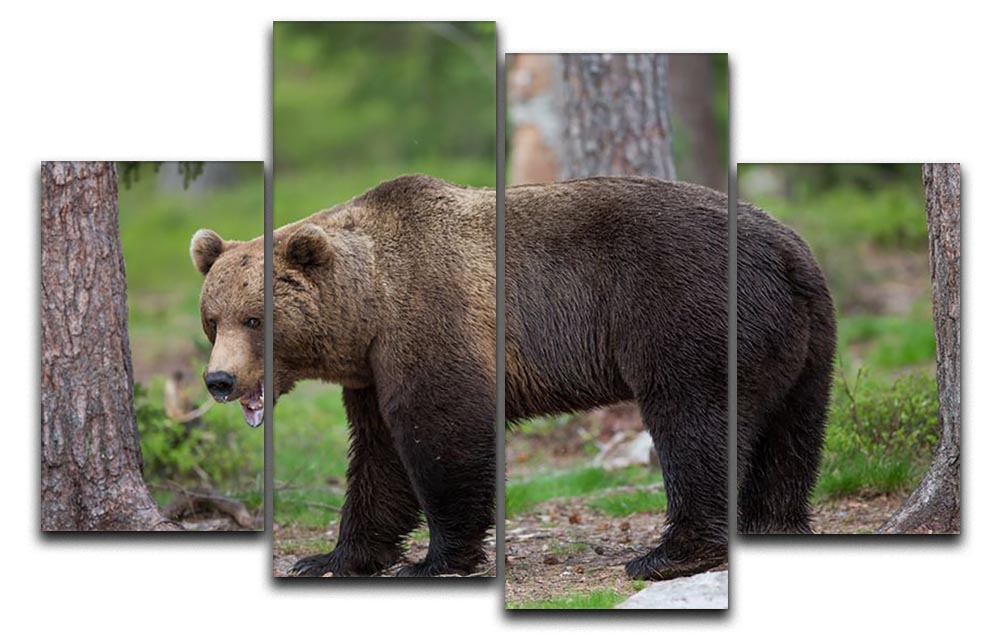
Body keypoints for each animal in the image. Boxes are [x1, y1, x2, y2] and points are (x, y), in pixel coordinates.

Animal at [193, 174, 497, 577]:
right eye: (213, 320)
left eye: (253, 320)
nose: (220, 380)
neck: (369, 311)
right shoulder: (371, 374)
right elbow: (379, 453)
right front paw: (330, 558)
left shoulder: (431, 321)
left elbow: (443, 430)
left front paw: (435, 560)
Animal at [505, 176, 834, 580]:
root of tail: (788, 253)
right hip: (809, 348)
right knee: (790, 436)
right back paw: (773, 526)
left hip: (686, 316)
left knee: (693, 426)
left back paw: (667, 555)